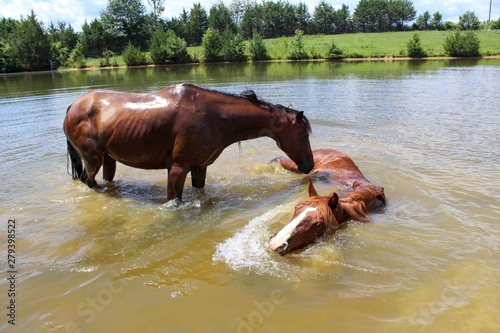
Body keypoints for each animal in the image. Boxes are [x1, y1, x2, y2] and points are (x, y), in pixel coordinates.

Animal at [62, 82, 312, 200]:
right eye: (305, 134)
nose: (309, 165)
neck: (214, 116)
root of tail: (73, 106)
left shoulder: (199, 167)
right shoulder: (177, 168)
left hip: (109, 158)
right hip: (92, 158)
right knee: (88, 180)